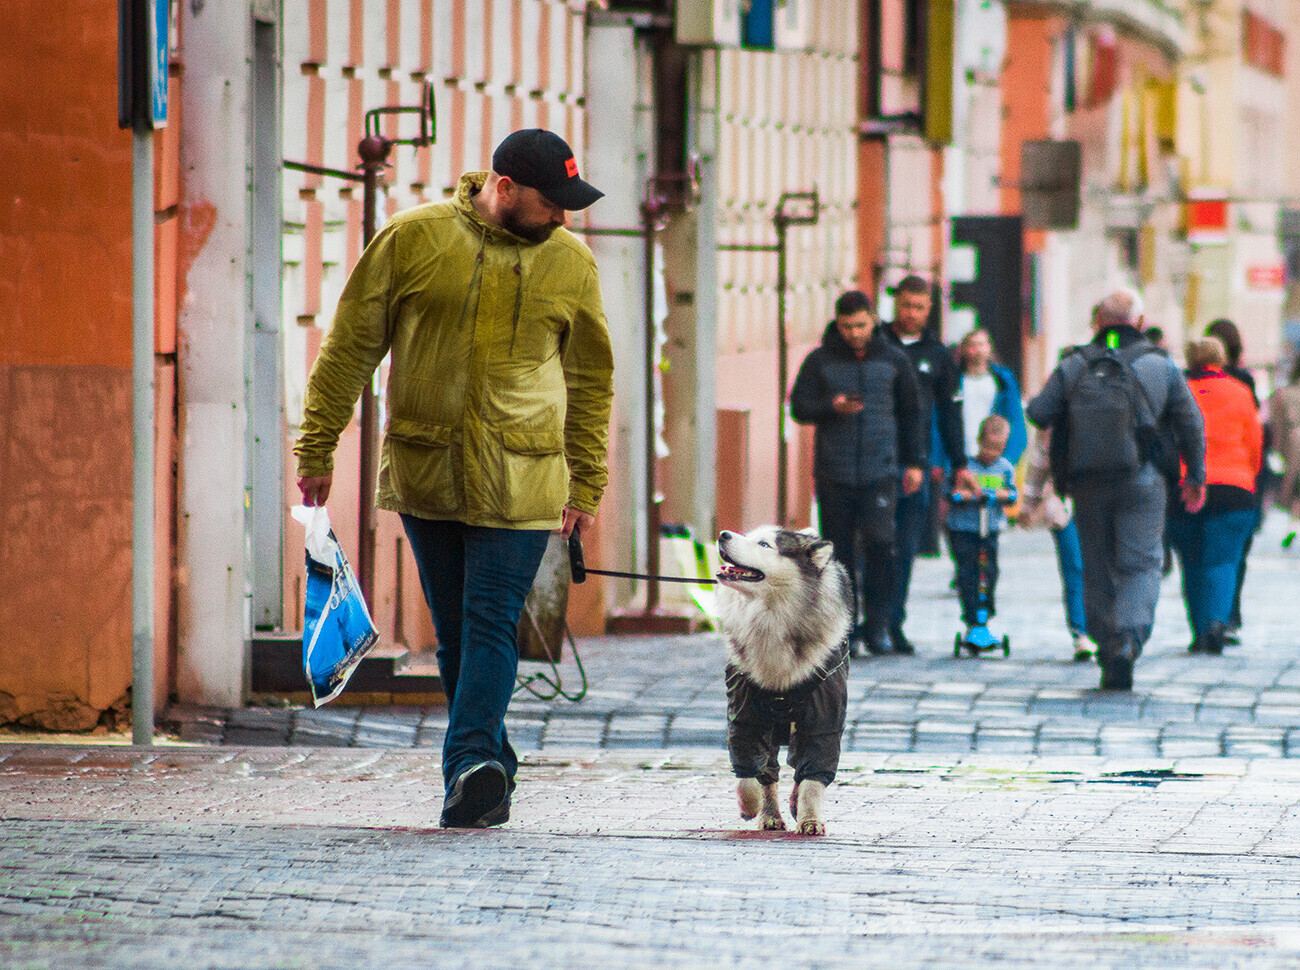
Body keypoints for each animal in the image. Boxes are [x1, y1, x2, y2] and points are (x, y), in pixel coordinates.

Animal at [712, 522, 852, 832]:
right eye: (748, 536)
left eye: (764, 545)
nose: (723, 535)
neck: (772, 617)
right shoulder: (744, 707)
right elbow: (748, 769)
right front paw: (750, 805)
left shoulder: (824, 711)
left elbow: (814, 771)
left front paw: (810, 818)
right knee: (769, 770)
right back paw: (770, 814)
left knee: (799, 766)